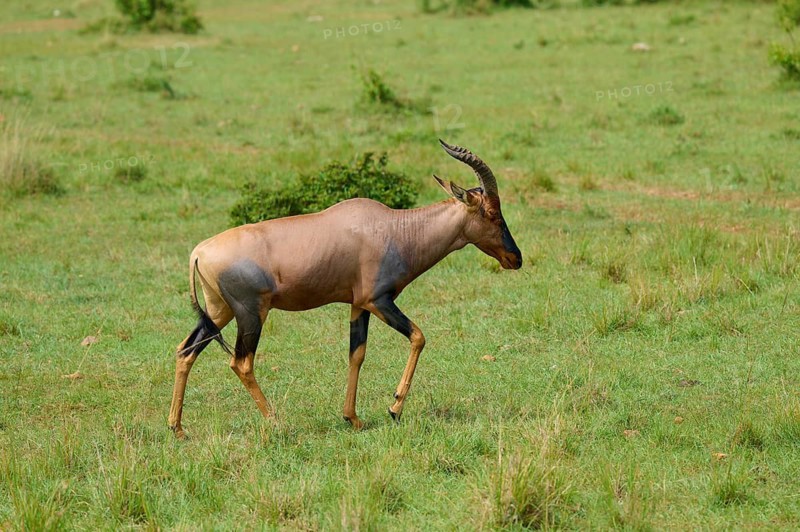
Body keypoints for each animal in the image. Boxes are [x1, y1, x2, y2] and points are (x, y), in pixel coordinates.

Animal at [168, 140, 522, 437]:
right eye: (492, 213)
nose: (515, 258)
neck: (395, 228)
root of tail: (199, 252)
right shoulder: (378, 301)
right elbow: (419, 337)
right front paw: (394, 407)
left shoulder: (358, 305)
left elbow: (356, 354)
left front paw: (353, 418)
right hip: (250, 314)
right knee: (241, 363)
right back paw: (278, 423)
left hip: (218, 311)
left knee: (186, 350)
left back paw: (177, 428)